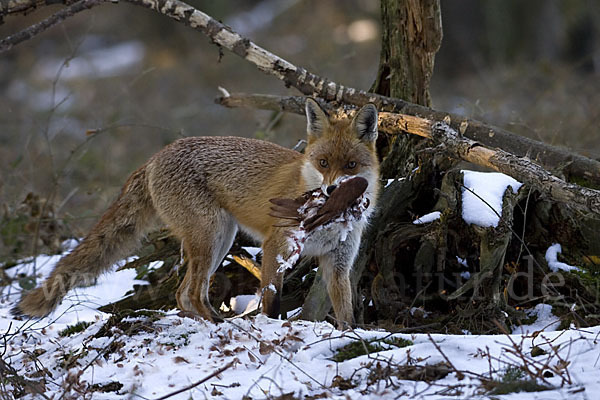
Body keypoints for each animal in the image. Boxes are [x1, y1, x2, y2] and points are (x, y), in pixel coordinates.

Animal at [12, 98, 380, 326]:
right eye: (323, 163)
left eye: (350, 165)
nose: (332, 191)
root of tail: (153, 159)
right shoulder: (275, 247)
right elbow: (271, 301)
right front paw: (272, 326)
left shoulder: (338, 262)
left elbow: (346, 311)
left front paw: (351, 336)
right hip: (211, 235)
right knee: (190, 292)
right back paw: (216, 324)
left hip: (220, 239)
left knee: (183, 294)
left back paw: (203, 321)